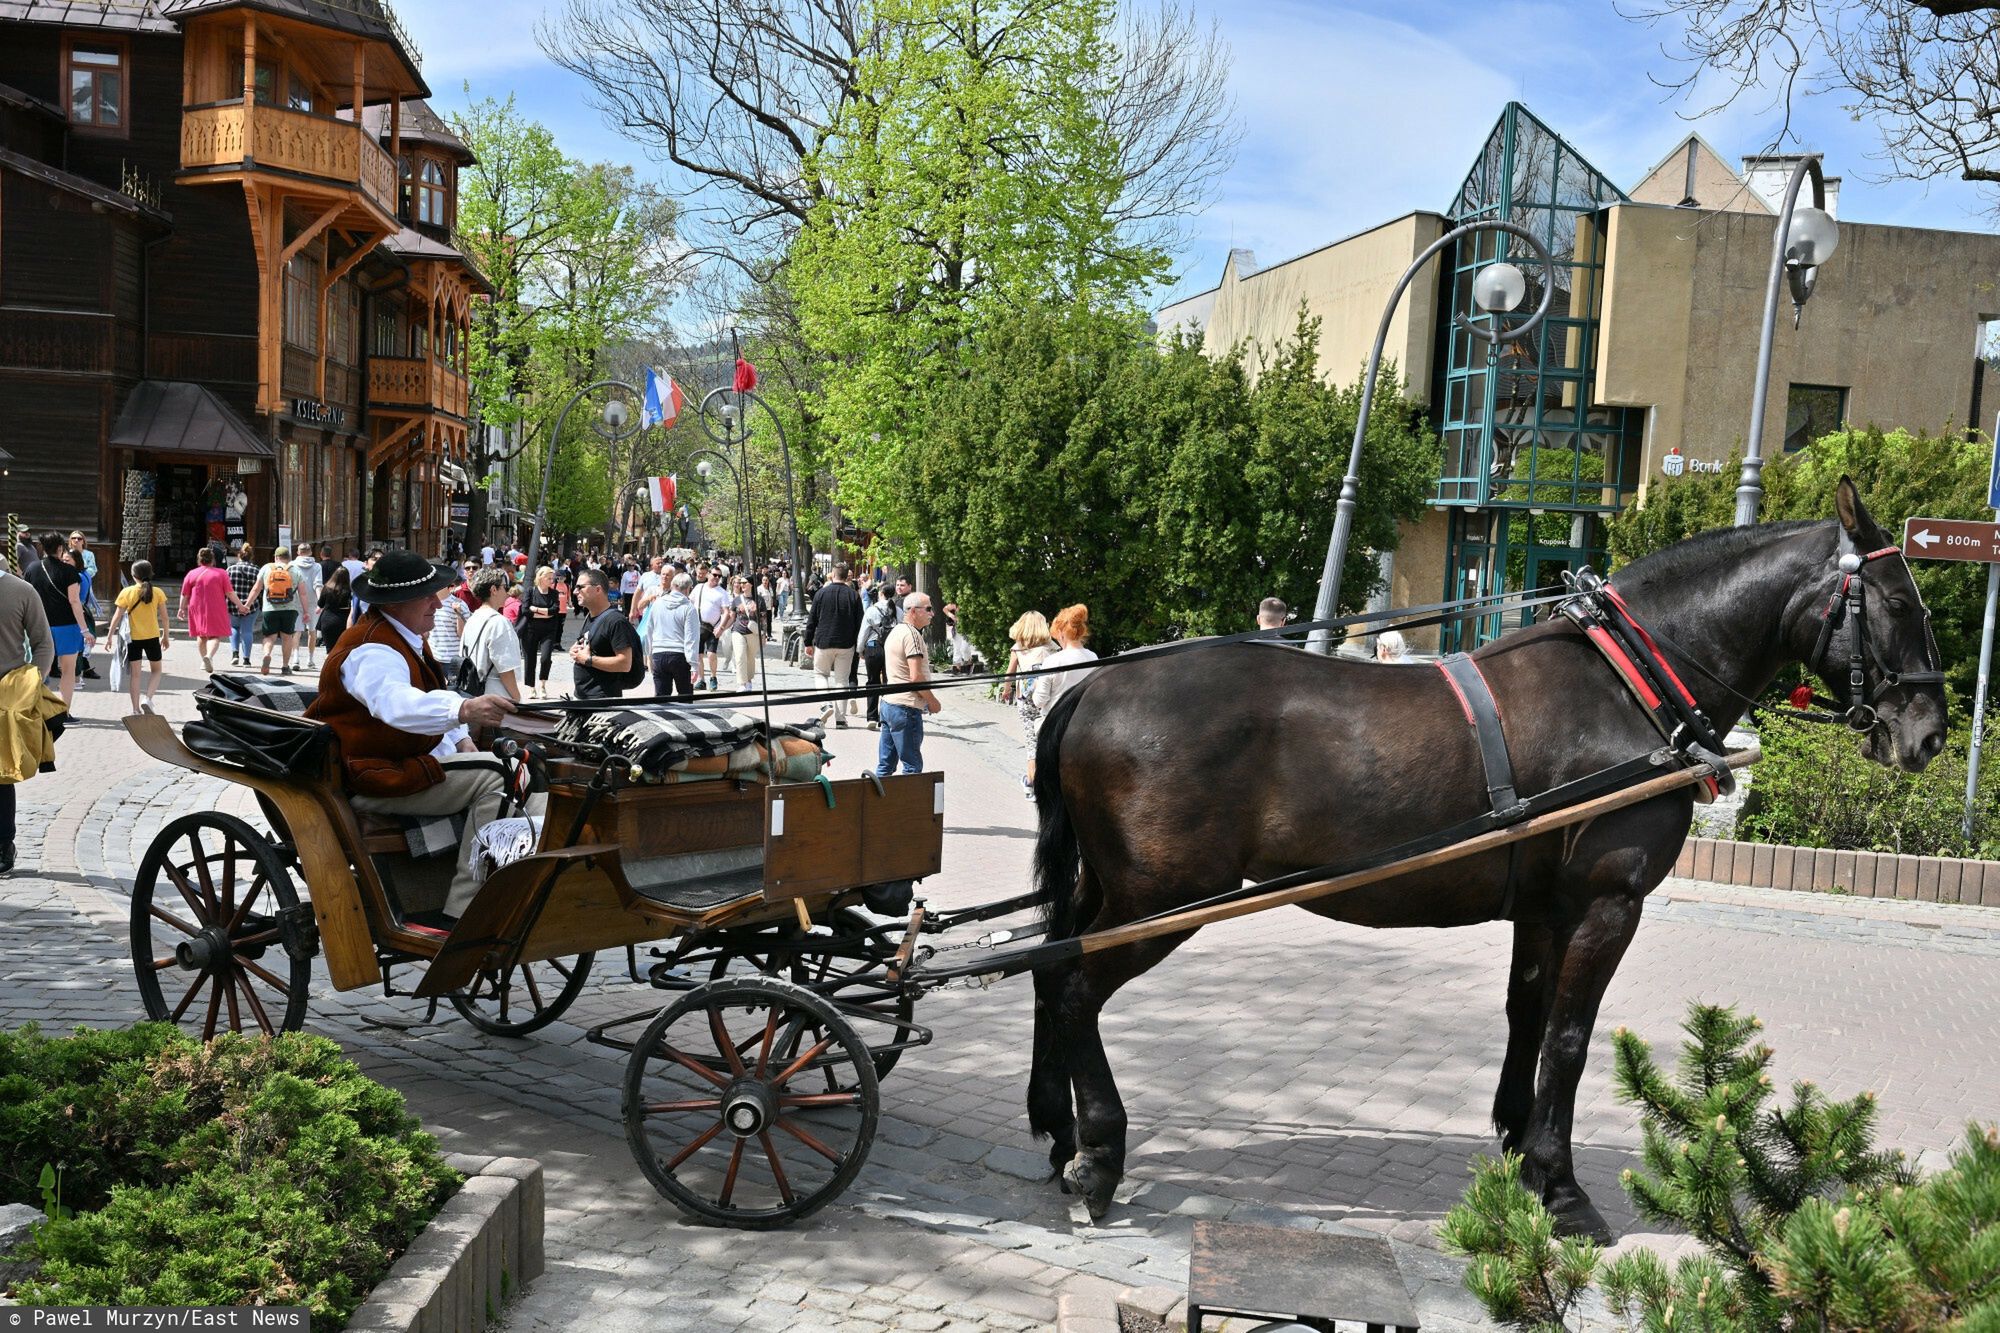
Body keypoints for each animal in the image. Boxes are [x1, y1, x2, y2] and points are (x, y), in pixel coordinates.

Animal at [1024, 480, 1944, 1232]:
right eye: (1901, 604)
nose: (1929, 734)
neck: (1622, 685)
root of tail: (1092, 685)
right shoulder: (1608, 902)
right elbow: (1569, 1037)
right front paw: (1562, 1185)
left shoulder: (1545, 907)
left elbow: (1528, 1018)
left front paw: (1520, 1146)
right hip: (1163, 897)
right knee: (1074, 988)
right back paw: (1099, 1152)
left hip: (1115, 888)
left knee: (1048, 964)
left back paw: (1058, 1126)